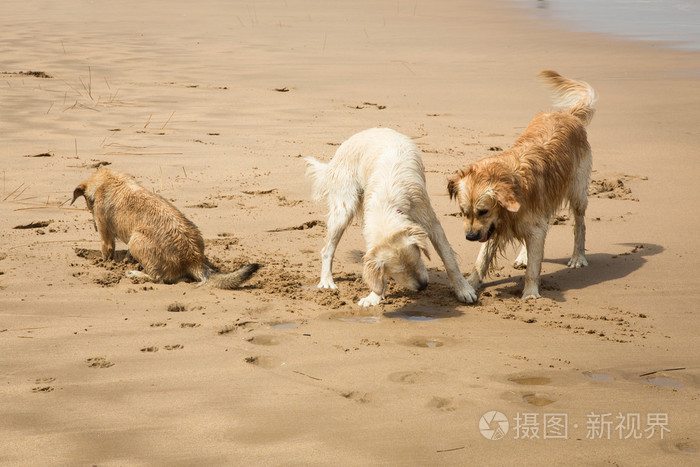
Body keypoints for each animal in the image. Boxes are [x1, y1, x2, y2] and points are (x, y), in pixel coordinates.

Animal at [72, 166, 260, 288]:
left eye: (89, 206)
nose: (94, 226)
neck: (108, 180)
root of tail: (193, 259)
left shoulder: (106, 236)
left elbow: (105, 252)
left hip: (136, 239)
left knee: (157, 278)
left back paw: (136, 274)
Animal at [306, 127, 476, 308]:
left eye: (417, 259)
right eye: (396, 272)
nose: (423, 286)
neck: (386, 205)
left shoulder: (431, 223)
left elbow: (449, 260)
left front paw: (464, 289)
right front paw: (374, 296)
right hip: (343, 209)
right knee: (327, 250)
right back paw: (327, 280)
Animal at [448, 72, 596, 300]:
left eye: (483, 211)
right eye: (463, 212)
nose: (470, 237)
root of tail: (566, 115)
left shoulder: (509, 223)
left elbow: (534, 268)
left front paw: (530, 294)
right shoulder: (494, 227)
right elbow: (482, 259)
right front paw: (470, 284)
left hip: (577, 190)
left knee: (580, 224)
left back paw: (578, 257)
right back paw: (524, 256)